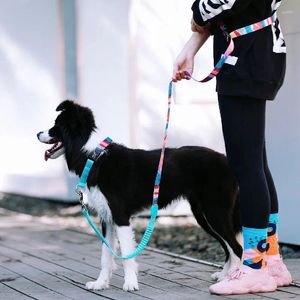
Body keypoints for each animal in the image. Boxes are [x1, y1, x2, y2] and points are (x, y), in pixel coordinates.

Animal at [38, 100, 244, 290]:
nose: (37, 133)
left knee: (236, 247)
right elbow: (106, 255)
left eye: (56, 126)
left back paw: (231, 280)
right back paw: (223, 276)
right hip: (204, 215)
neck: (94, 156)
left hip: (215, 212)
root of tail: (226, 160)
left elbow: (126, 255)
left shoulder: (120, 217)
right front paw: (100, 283)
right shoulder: (107, 218)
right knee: (228, 246)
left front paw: (130, 284)